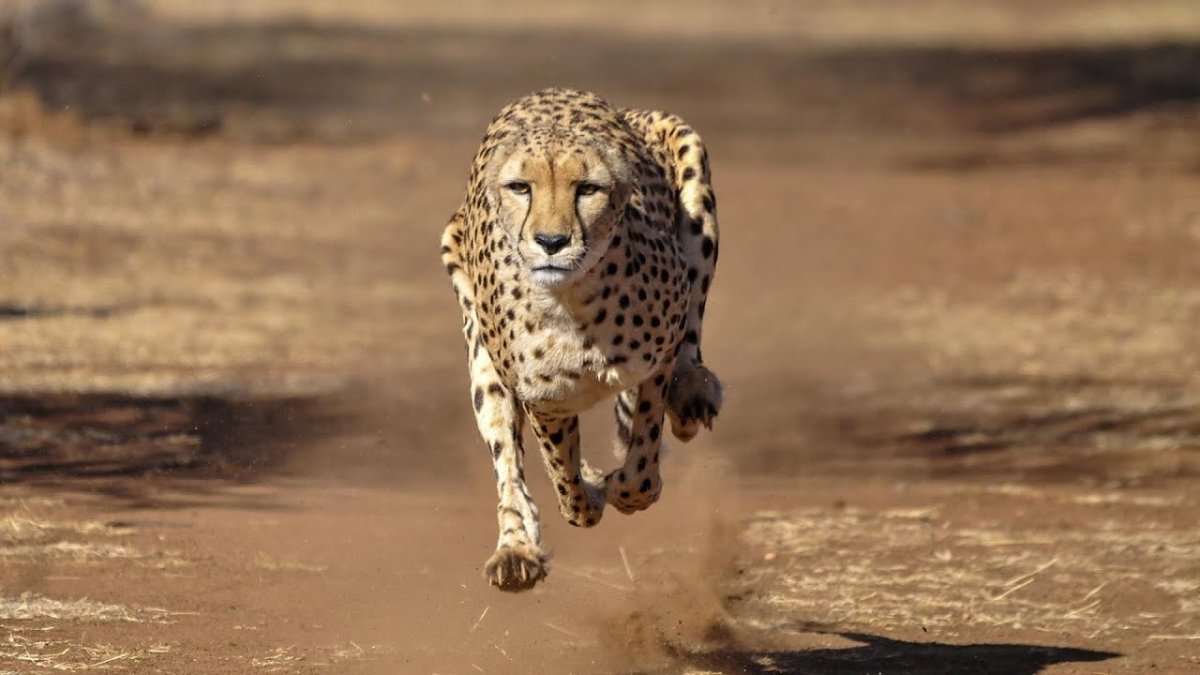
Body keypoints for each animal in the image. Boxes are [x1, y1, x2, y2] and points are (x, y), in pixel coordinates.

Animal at [440, 87, 722, 592]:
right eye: (521, 187)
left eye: (588, 189)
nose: (551, 241)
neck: (573, 302)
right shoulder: (543, 400)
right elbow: (561, 473)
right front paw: (587, 497)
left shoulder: (658, 356)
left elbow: (641, 461)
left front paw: (622, 488)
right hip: (481, 357)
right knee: (507, 464)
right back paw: (515, 549)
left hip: (694, 185)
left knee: (693, 324)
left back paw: (692, 393)